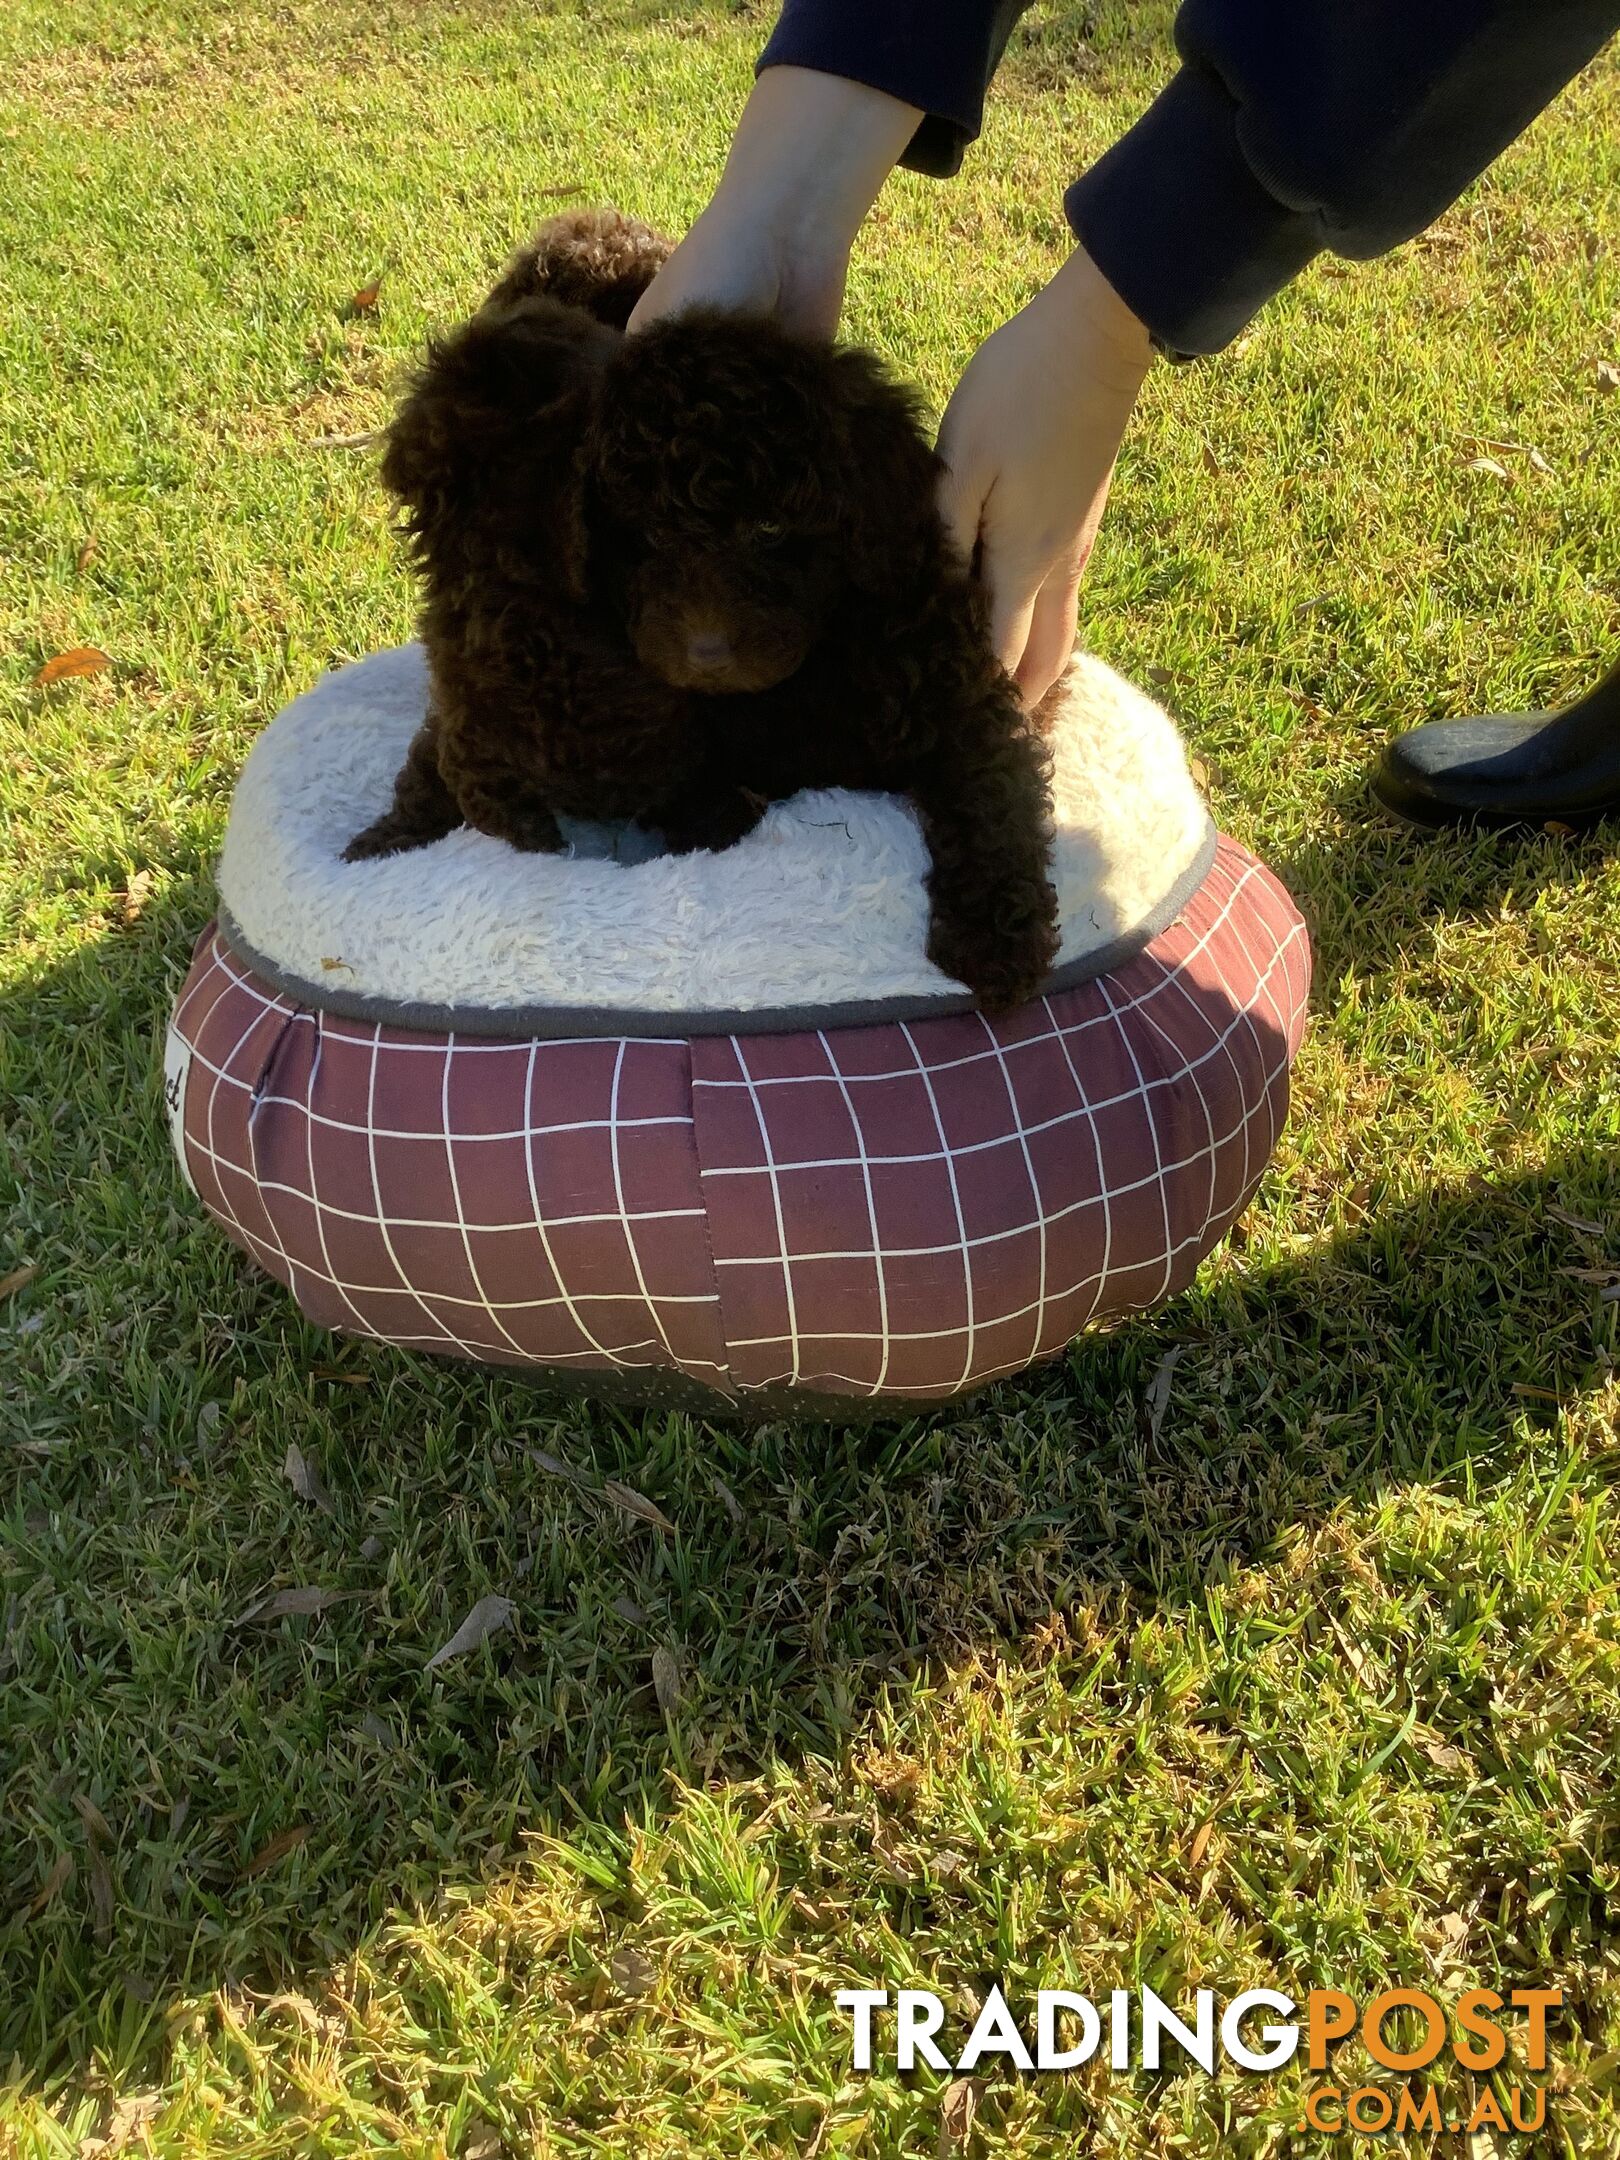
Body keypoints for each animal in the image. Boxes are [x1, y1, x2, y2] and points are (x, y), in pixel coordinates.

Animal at [349, 206, 1067, 1006]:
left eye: (771, 528)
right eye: (647, 537)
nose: (707, 657)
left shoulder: (955, 683)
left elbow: (990, 794)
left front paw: (997, 944)